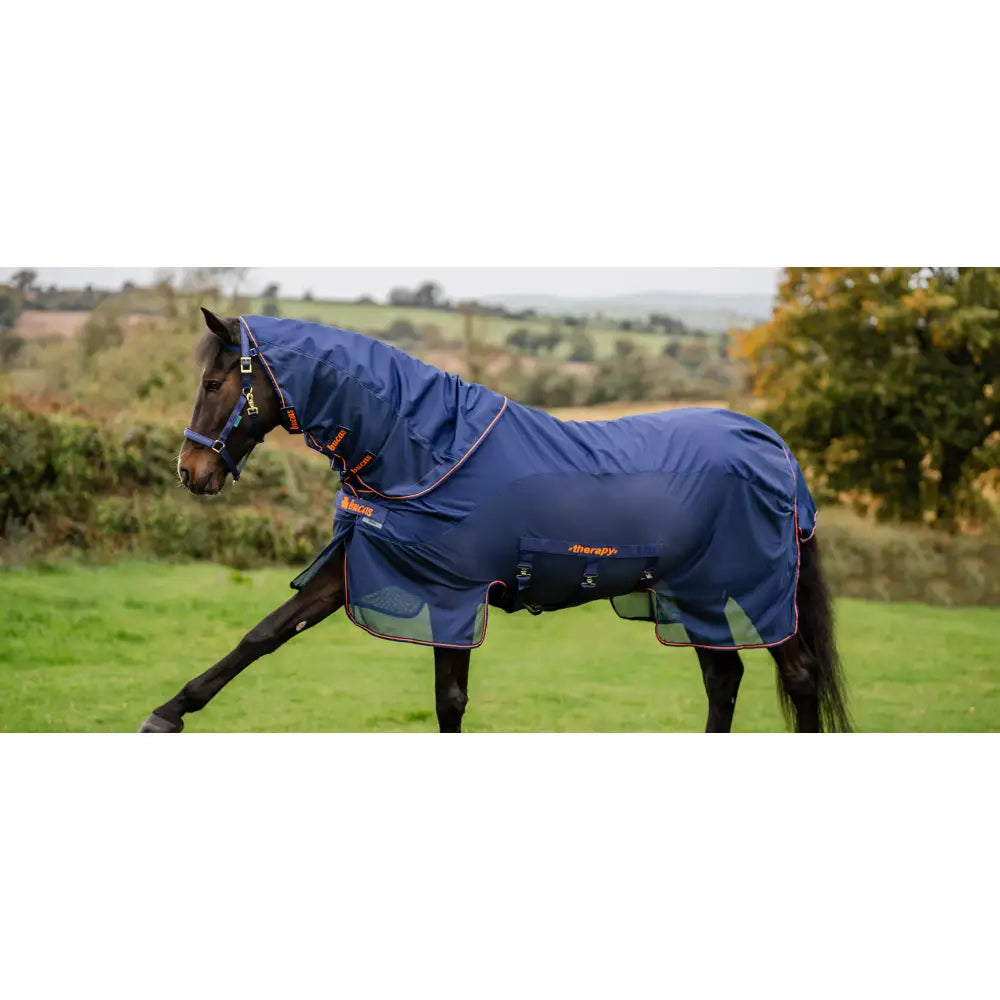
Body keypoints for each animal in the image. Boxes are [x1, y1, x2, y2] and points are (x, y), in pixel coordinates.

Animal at [138, 309, 851, 734]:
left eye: (212, 384)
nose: (190, 472)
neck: (424, 448)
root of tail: (773, 446)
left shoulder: (450, 593)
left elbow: (448, 700)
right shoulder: (361, 569)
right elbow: (263, 636)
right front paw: (168, 714)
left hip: (744, 587)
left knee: (797, 676)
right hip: (699, 593)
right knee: (723, 679)